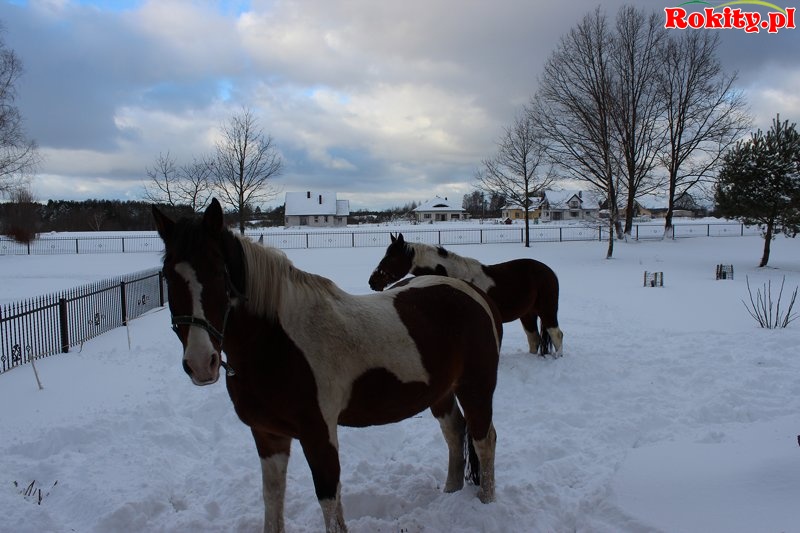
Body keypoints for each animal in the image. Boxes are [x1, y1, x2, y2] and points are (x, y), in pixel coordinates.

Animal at [152, 199, 502, 533]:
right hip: (441, 392)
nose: (201, 362)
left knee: (484, 438)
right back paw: (450, 492)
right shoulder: (267, 435)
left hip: (476, 387)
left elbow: (329, 501)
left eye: (217, 272)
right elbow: (272, 498)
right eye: (168, 275)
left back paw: (486, 501)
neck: (277, 343)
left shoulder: (319, 434)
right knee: (455, 432)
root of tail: (475, 295)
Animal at [369, 233, 563, 356]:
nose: (373, 281)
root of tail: (548, 271)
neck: (454, 276)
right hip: (528, 314)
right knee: (534, 339)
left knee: (556, 335)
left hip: (547, 311)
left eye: (392, 257)